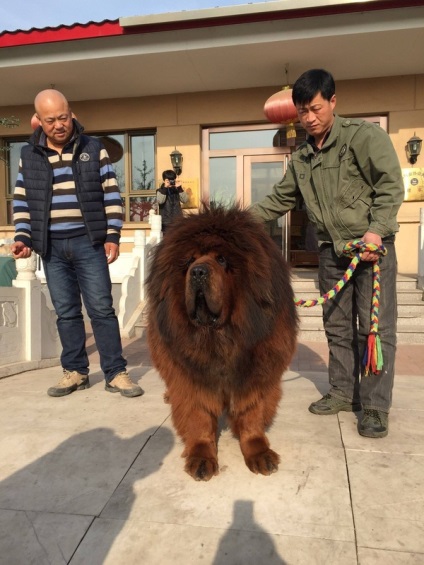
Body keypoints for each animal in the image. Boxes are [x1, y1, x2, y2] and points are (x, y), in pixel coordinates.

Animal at [146, 204, 298, 480]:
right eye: (189, 261)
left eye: (222, 259)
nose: (198, 271)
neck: (219, 336)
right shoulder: (191, 377)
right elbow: (198, 417)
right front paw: (201, 457)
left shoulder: (257, 373)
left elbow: (251, 414)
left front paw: (258, 452)